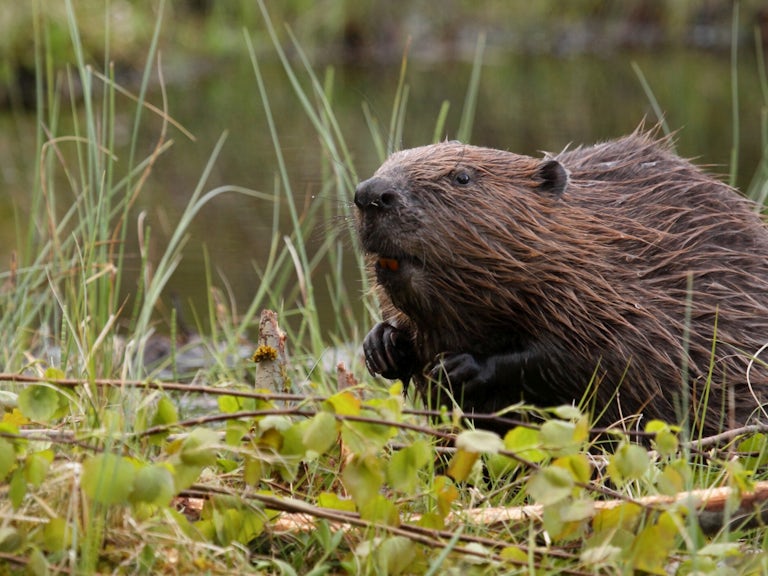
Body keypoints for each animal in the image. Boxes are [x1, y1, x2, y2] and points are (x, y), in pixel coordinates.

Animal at [352, 129, 768, 436]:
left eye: (462, 177)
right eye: (387, 163)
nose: (371, 194)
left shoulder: (624, 294)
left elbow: (596, 358)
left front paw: (461, 366)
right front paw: (382, 345)